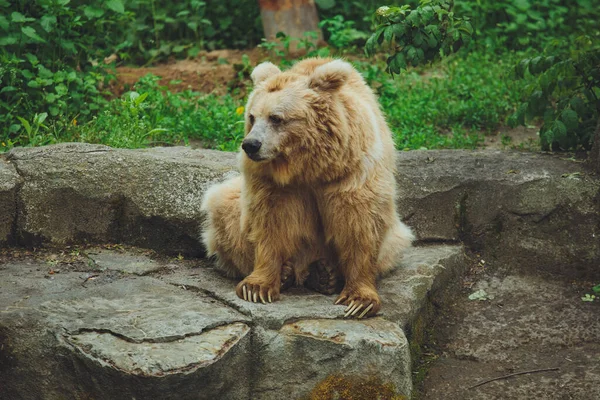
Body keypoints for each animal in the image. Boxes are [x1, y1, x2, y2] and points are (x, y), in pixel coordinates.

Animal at [202, 57, 412, 318]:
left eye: (276, 117)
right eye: (252, 117)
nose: (251, 145)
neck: (308, 165)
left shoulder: (352, 172)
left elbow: (359, 224)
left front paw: (359, 300)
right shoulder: (272, 182)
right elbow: (270, 222)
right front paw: (257, 286)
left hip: (395, 238)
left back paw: (325, 275)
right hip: (231, 205)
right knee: (223, 207)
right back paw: (290, 273)